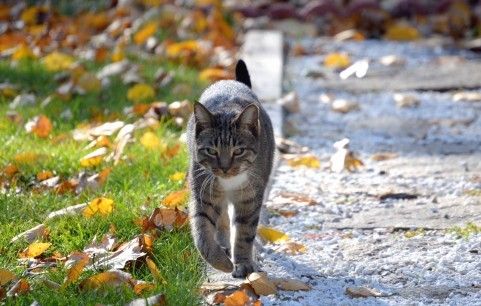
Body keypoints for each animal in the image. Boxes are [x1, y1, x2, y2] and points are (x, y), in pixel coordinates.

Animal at [187, 59, 274, 278]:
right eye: (211, 150)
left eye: (239, 151)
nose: (225, 168)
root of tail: (231, 81)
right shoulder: (203, 193)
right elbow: (202, 233)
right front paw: (221, 262)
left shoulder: (250, 199)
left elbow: (244, 233)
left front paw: (242, 263)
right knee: (222, 217)